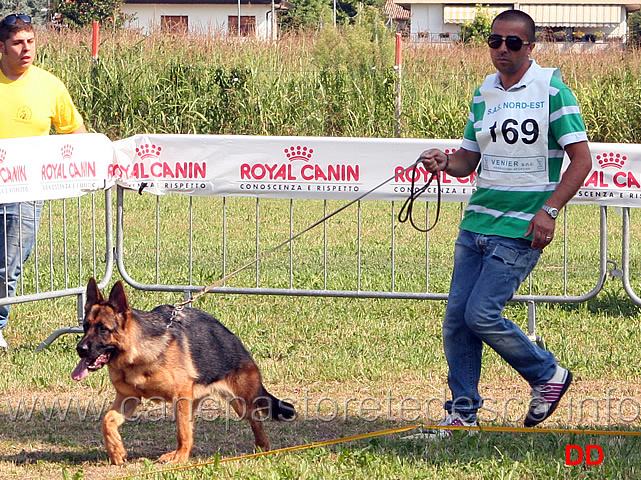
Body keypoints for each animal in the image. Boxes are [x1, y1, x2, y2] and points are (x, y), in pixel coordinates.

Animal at [72, 278, 296, 464]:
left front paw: (180, 458)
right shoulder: (129, 398)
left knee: (256, 423)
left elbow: (182, 431)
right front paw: (117, 452)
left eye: (103, 329)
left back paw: (262, 449)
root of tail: (233, 339)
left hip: (242, 402)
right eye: (85, 326)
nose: (80, 349)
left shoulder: (180, 396)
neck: (137, 355)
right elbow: (107, 420)